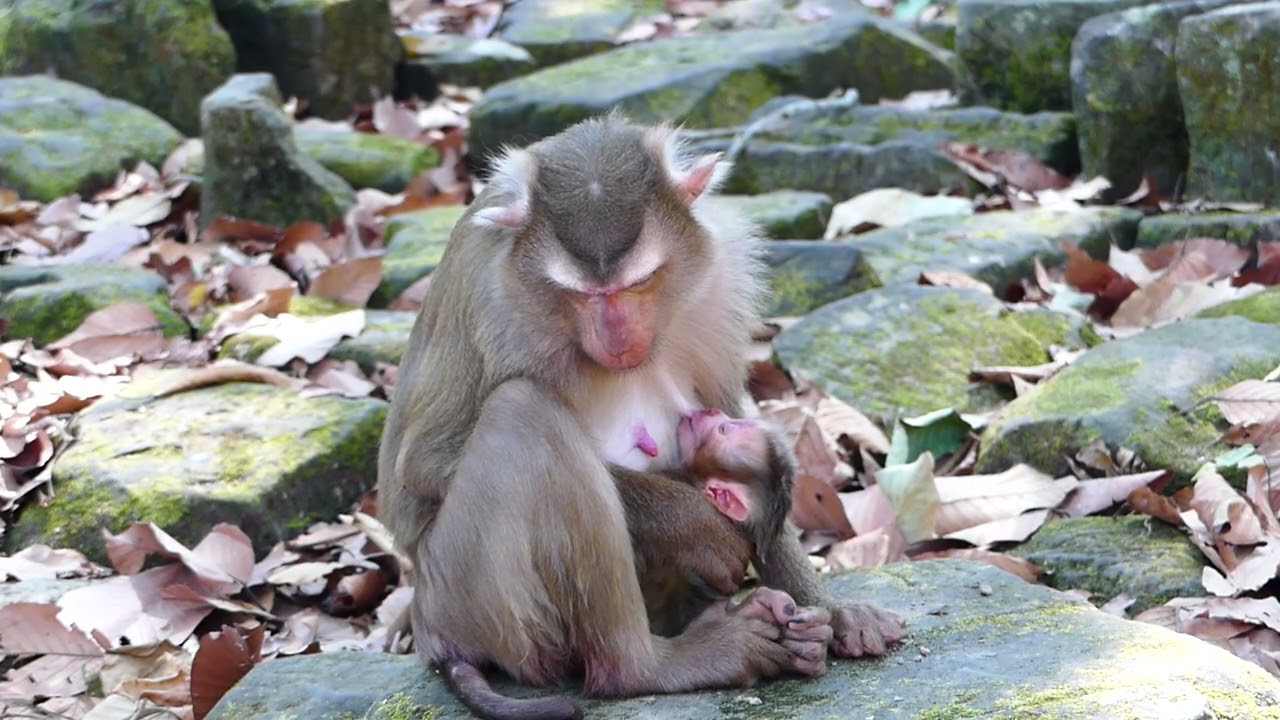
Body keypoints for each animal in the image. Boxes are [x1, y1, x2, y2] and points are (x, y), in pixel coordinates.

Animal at [377, 114, 836, 720]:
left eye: (638, 283)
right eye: (580, 294)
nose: (617, 341)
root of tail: (432, 632)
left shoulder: (715, 287)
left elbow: (730, 400)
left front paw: (832, 613)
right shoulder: (489, 302)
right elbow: (424, 465)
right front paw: (695, 525)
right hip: (473, 600)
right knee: (524, 415)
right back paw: (648, 666)